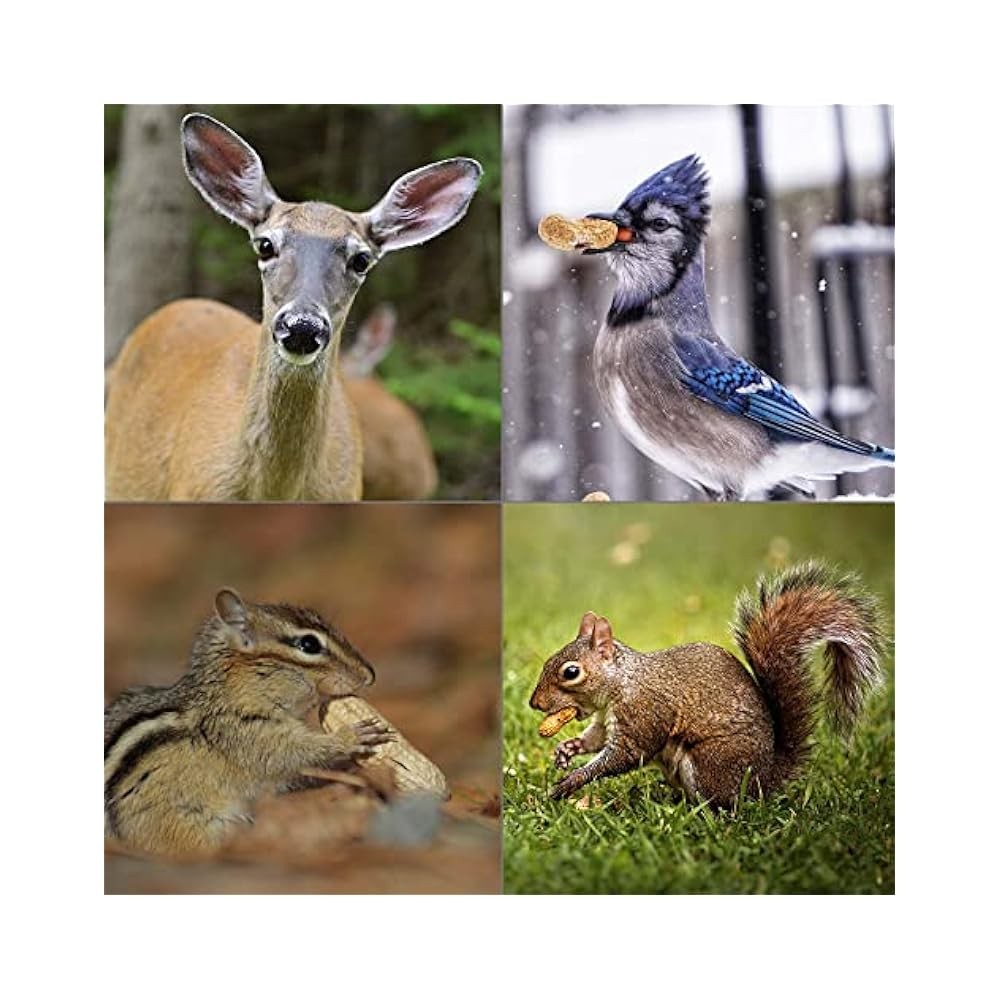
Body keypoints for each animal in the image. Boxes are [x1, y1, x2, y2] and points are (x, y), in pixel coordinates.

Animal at [104, 588, 393, 854]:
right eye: (309, 645)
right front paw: (351, 737)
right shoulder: (246, 734)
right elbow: (295, 753)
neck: (227, 696)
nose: (369, 675)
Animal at [529, 562, 885, 806]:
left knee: (721, 804)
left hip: (710, 764)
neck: (622, 683)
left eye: (571, 672)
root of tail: (762, 781)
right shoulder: (606, 719)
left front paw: (571, 781)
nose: (535, 704)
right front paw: (567, 750)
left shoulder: (644, 714)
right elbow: (596, 739)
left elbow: (627, 755)